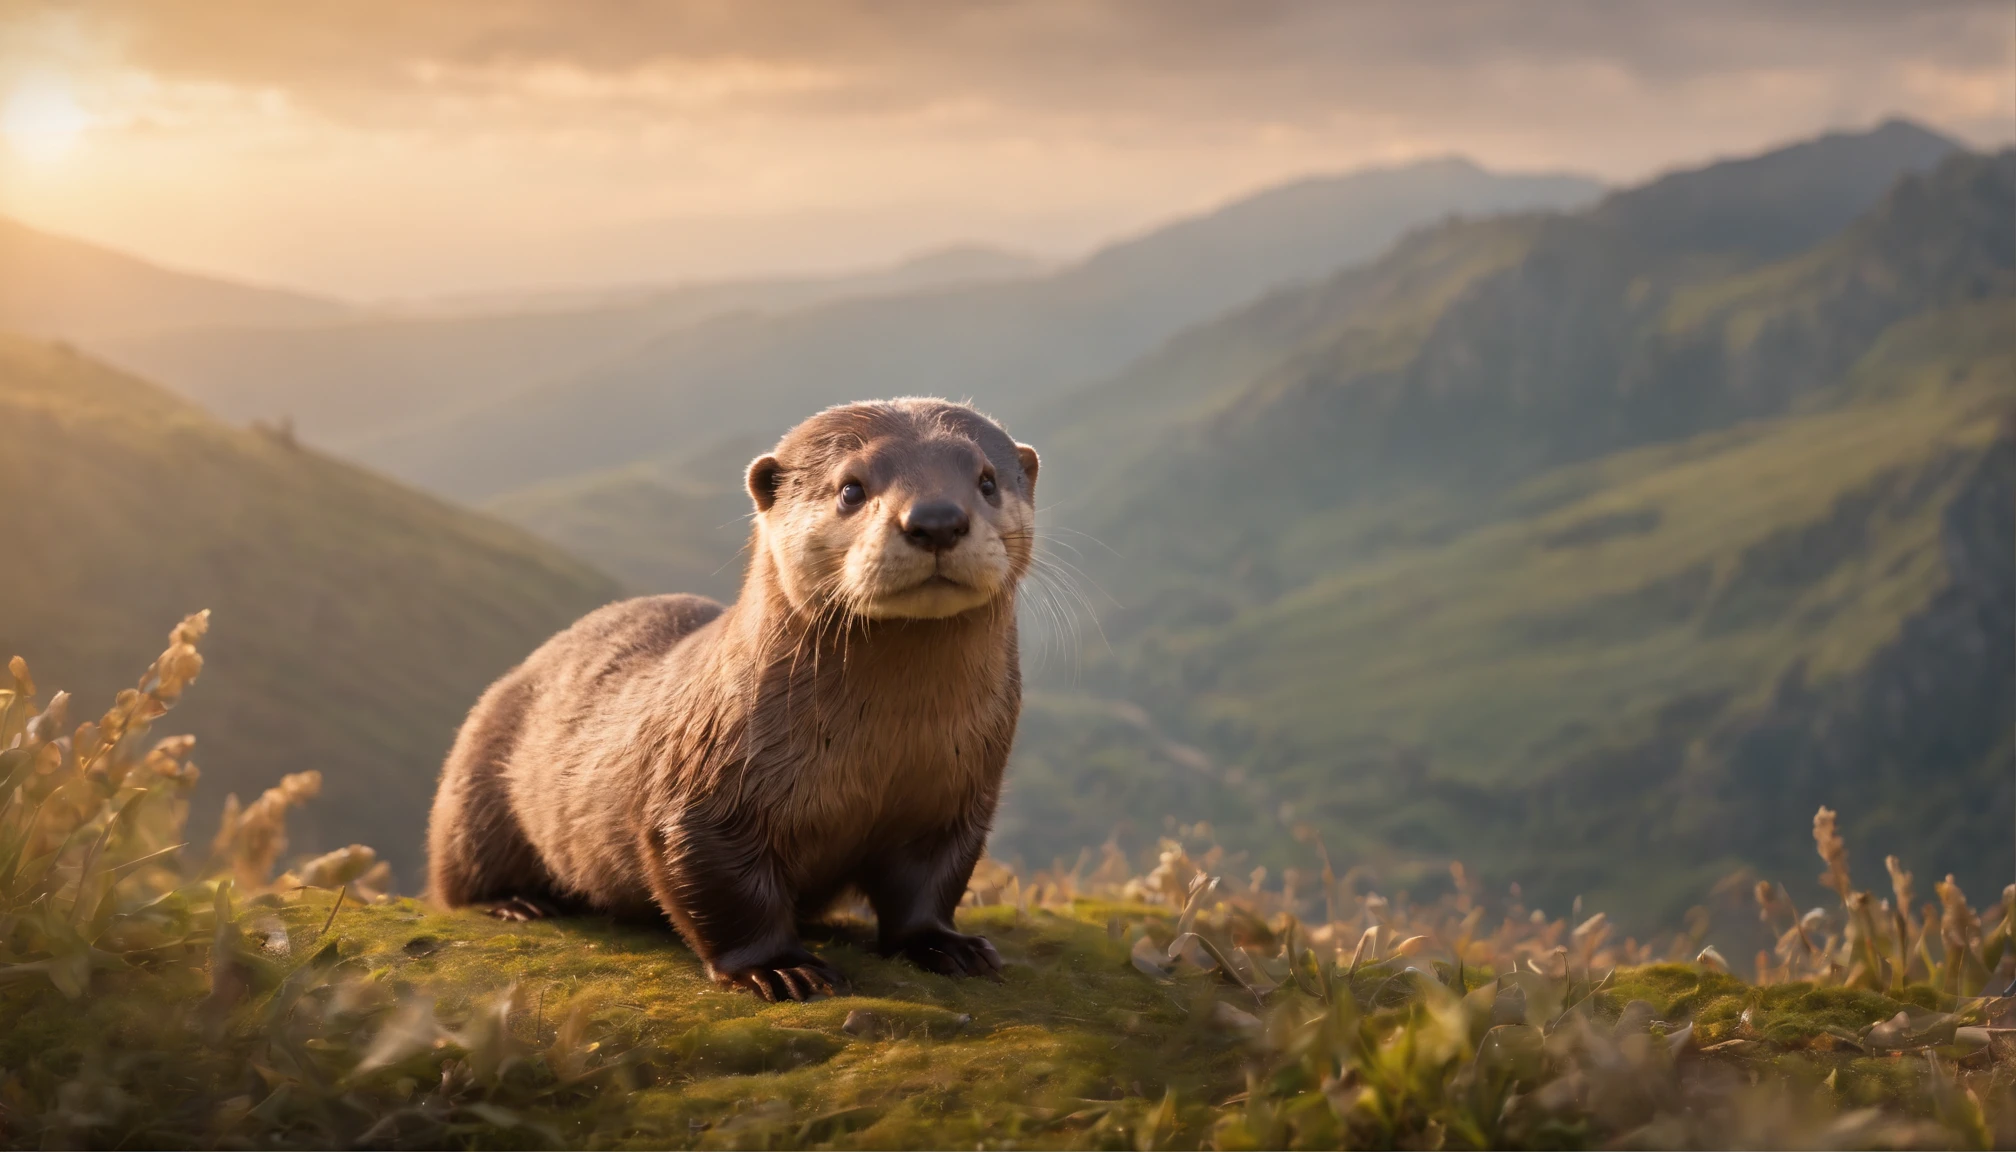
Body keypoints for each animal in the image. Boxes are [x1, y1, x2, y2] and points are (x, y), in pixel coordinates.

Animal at [425, 397, 1040, 1000]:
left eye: (987, 480)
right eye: (851, 488)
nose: (936, 519)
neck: (883, 750)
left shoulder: (954, 796)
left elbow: (930, 883)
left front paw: (947, 946)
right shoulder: (703, 793)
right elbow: (725, 888)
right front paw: (780, 968)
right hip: (475, 788)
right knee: (459, 873)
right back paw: (516, 903)